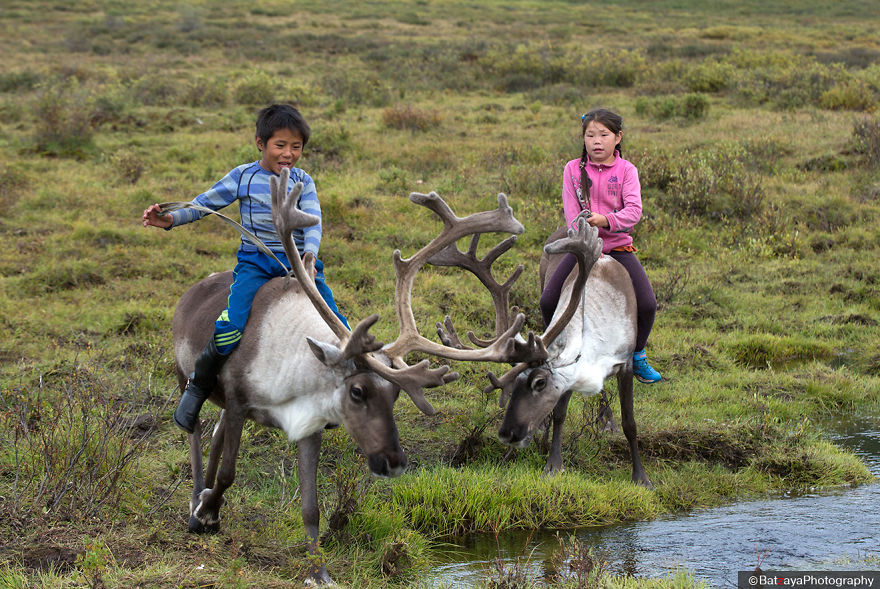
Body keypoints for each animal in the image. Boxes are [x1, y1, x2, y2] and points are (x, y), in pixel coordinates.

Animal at [167, 168, 541, 585]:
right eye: (358, 392)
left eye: (395, 395)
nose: (394, 462)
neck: (293, 376)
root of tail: (193, 289)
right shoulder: (237, 401)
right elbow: (230, 473)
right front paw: (206, 512)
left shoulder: (308, 424)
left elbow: (311, 506)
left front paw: (319, 572)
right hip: (187, 376)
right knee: (196, 430)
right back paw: (197, 499)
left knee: (214, 434)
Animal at [438, 217, 652, 488]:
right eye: (513, 385)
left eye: (539, 382)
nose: (507, 433)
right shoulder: (569, 373)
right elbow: (560, 414)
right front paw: (553, 464)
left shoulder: (624, 364)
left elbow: (630, 422)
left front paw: (641, 477)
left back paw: (607, 422)